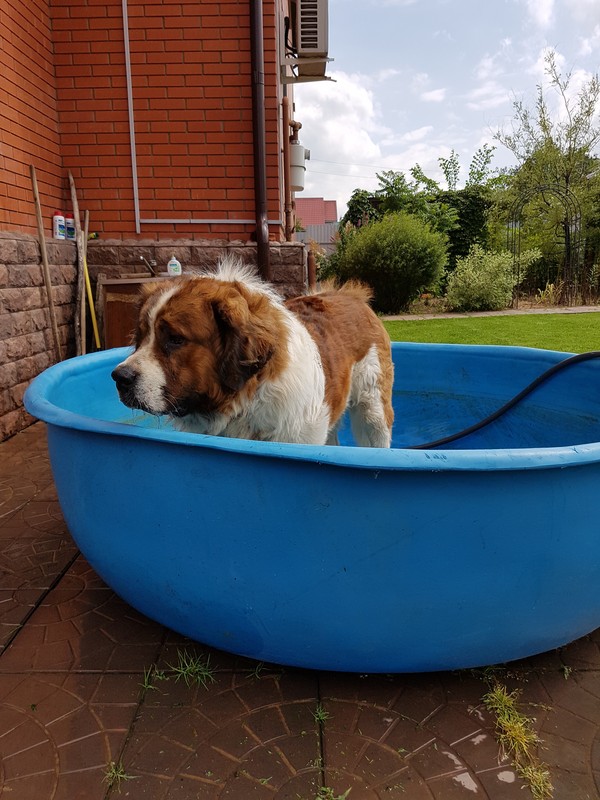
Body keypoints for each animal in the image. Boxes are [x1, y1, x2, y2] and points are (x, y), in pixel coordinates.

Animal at [112, 260, 394, 446]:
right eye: (141, 338)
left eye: (175, 339)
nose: (119, 377)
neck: (246, 401)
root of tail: (351, 295)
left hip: (373, 413)